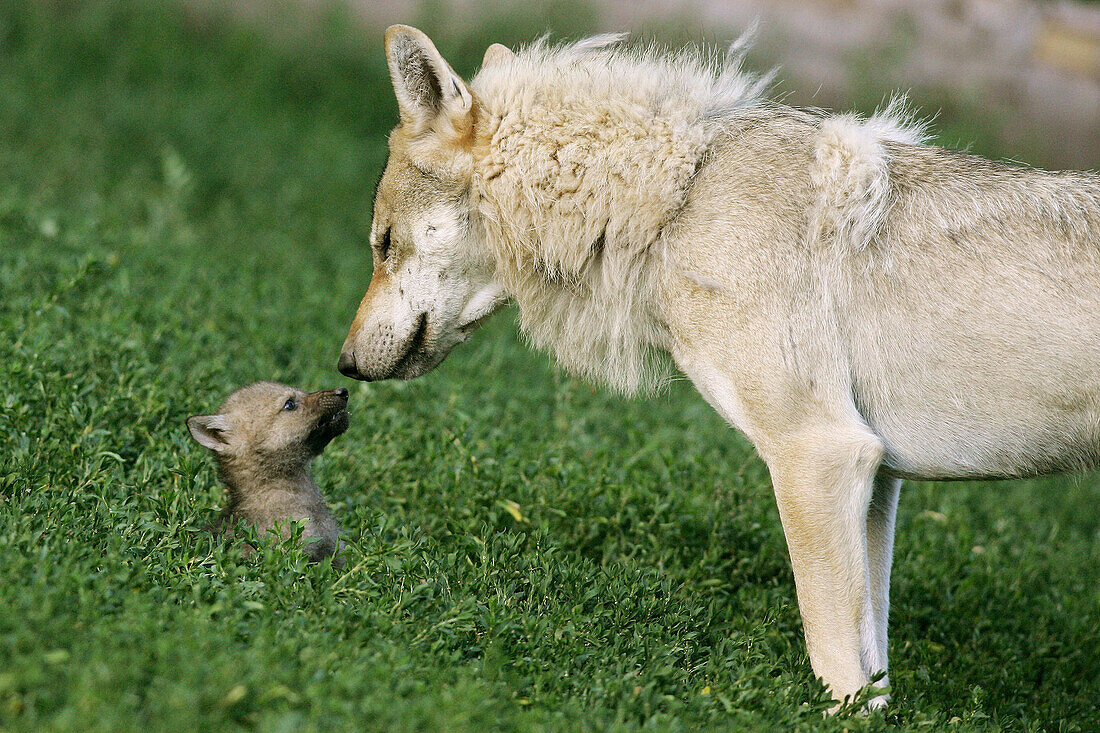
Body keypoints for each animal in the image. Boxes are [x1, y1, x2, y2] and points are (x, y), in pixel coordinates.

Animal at [336, 25, 1100, 704]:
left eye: (381, 243)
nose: (342, 365)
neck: (678, 203)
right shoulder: (877, 479)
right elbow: (875, 677)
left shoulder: (819, 456)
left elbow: (836, 668)